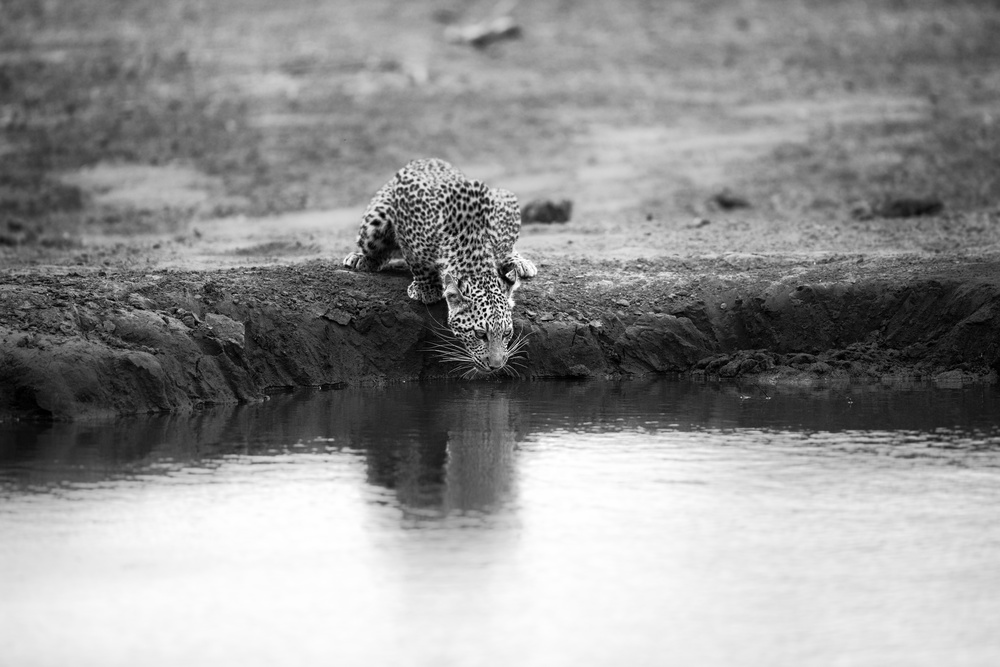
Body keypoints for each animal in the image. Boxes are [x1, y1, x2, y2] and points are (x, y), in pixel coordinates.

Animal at [342, 157, 536, 376]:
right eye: (480, 334)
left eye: (507, 333)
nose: (496, 366)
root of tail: (426, 159)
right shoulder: (406, 214)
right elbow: (417, 262)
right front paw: (426, 290)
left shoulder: (506, 205)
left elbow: (507, 244)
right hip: (375, 219)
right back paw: (360, 258)